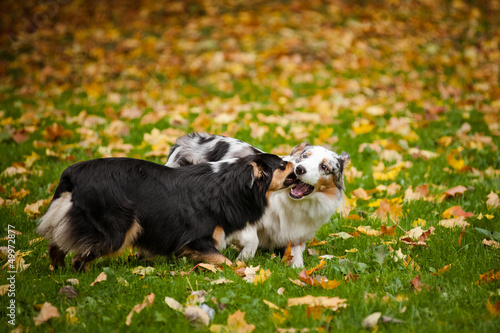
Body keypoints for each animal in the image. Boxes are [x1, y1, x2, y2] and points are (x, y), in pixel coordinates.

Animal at [40, 154, 296, 272]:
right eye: (283, 164)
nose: (299, 164)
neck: (231, 184)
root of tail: (72, 174)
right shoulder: (197, 239)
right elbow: (226, 261)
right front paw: (244, 271)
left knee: (56, 245)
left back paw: (58, 271)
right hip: (119, 228)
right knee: (79, 257)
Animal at [166, 132, 350, 268]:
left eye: (324, 167)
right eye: (304, 156)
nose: (300, 169)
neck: (295, 204)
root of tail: (185, 139)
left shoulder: (297, 236)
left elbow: (297, 255)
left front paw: (298, 269)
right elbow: (252, 239)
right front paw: (243, 259)